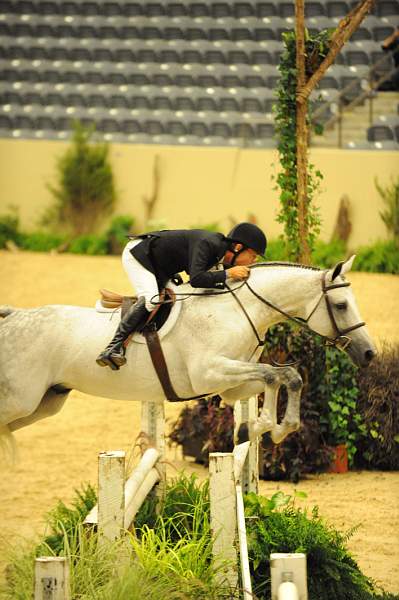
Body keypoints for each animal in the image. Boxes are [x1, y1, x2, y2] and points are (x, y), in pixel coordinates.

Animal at [0, 255, 376, 452]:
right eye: (341, 305)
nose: (369, 353)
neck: (236, 309)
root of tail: (12, 317)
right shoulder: (209, 372)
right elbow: (274, 375)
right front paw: (265, 426)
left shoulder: (231, 386)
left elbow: (287, 376)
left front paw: (273, 429)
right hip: (21, 400)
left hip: (44, 403)